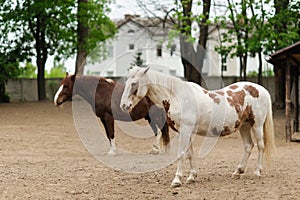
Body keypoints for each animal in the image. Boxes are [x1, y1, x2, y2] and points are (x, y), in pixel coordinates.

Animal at [120, 66, 276, 187]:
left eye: (134, 83)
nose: (123, 105)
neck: (177, 96)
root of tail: (261, 90)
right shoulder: (186, 132)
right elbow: (189, 154)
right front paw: (191, 177)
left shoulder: (185, 130)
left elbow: (181, 153)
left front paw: (177, 180)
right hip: (244, 126)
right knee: (248, 146)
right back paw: (238, 172)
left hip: (257, 125)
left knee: (260, 146)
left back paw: (257, 172)